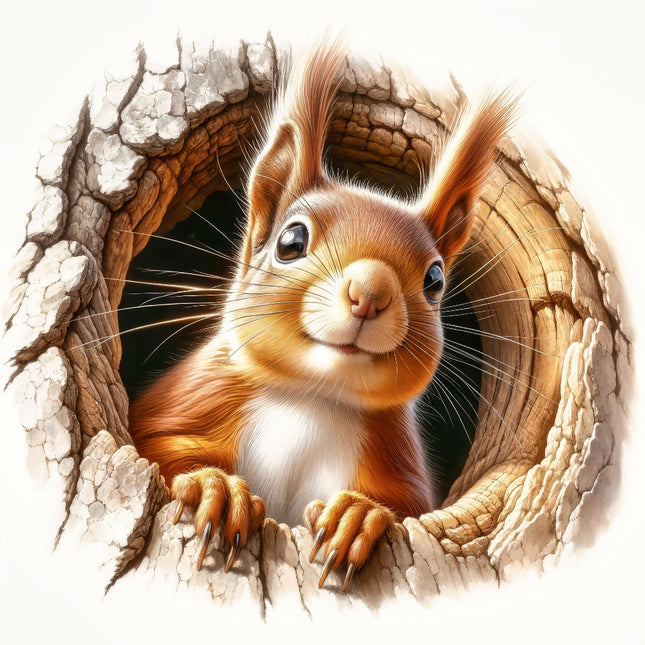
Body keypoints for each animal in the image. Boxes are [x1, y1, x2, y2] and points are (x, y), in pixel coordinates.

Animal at [128, 39, 516, 592]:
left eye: (436, 280)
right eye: (291, 241)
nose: (369, 293)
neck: (313, 399)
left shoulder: (395, 461)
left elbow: (407, 508)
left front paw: (358, 515)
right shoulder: (194, 397)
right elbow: (156, 445)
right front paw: (215, 489)